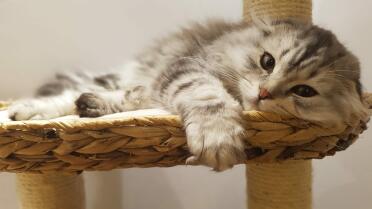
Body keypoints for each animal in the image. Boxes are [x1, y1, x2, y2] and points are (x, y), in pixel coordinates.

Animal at [7, 18, 368, 171]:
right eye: (268, 61)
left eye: (303, 91)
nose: (265, 93)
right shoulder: (188, 69)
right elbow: (209, 99)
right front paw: (218, 141)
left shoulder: (163, 83)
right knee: (69, 93)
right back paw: (24, 112)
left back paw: (89, 106)